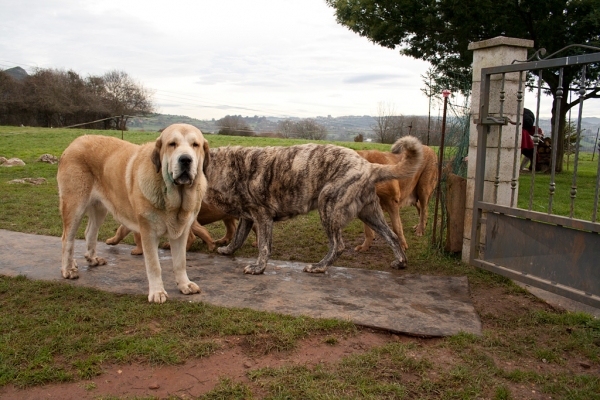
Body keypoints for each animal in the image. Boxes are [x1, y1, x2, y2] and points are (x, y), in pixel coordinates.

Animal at [57, 123, 210, 302]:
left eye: (195, 145)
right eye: (172, 144)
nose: (185, 159)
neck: (173, 197)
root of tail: (75, 141)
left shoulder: (181, 232)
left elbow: (180, 262)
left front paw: (184, 284)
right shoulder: (148, 231)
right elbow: (154, 265)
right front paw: (157, 292)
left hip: (99, 208)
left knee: (90, 232)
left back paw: (92, 259)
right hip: (74, 205)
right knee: (67, 239)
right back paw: (68, 269)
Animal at [206, 137, 422, 276]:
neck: (229, 166)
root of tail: (369, 166)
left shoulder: (262, 216)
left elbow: (263, 247)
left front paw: (258, 268)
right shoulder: (247, 217)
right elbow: (238, 238)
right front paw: (227, 250)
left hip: (328, 205)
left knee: (338, 245)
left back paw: (319, 266)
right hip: (369, 214)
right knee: (392, 236)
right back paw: (401, 262)